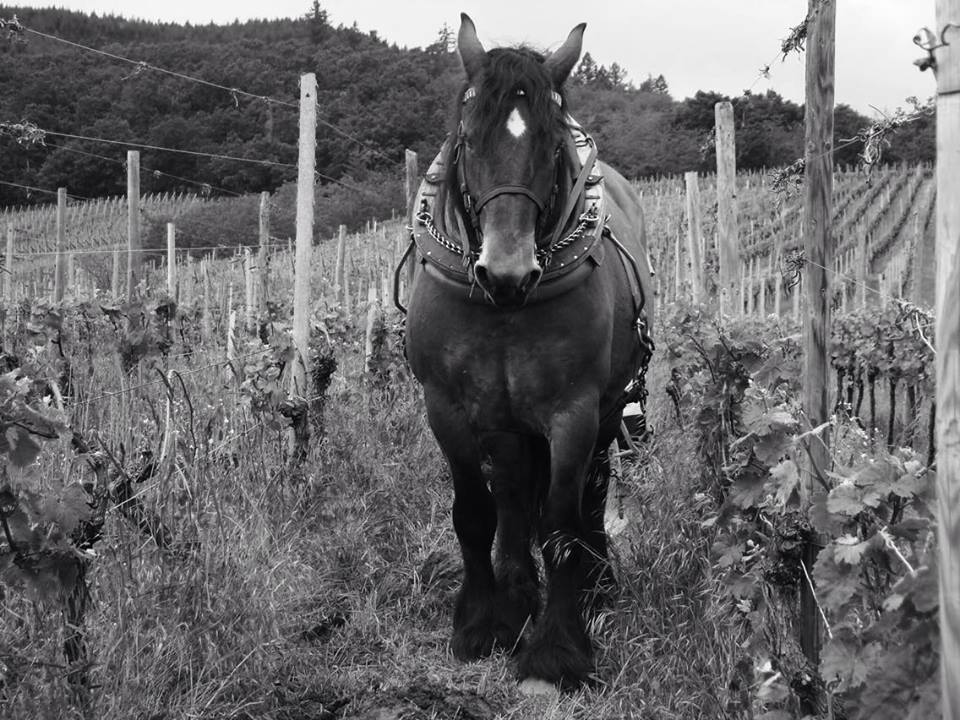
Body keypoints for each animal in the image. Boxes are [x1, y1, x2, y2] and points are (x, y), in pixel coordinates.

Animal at [403, 14, 655, 691]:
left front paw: (559, 651)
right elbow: (474, 512)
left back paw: (595, 585)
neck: (505, 309)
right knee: (515, 497)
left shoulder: (573, 412)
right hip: (506, 419)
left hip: (604, 410)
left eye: (552, 146)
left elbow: (562, 522)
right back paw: (516, 599)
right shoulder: (448, 408)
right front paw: (480, 625)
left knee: (589, 493)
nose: (507, 271)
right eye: (467, 140)